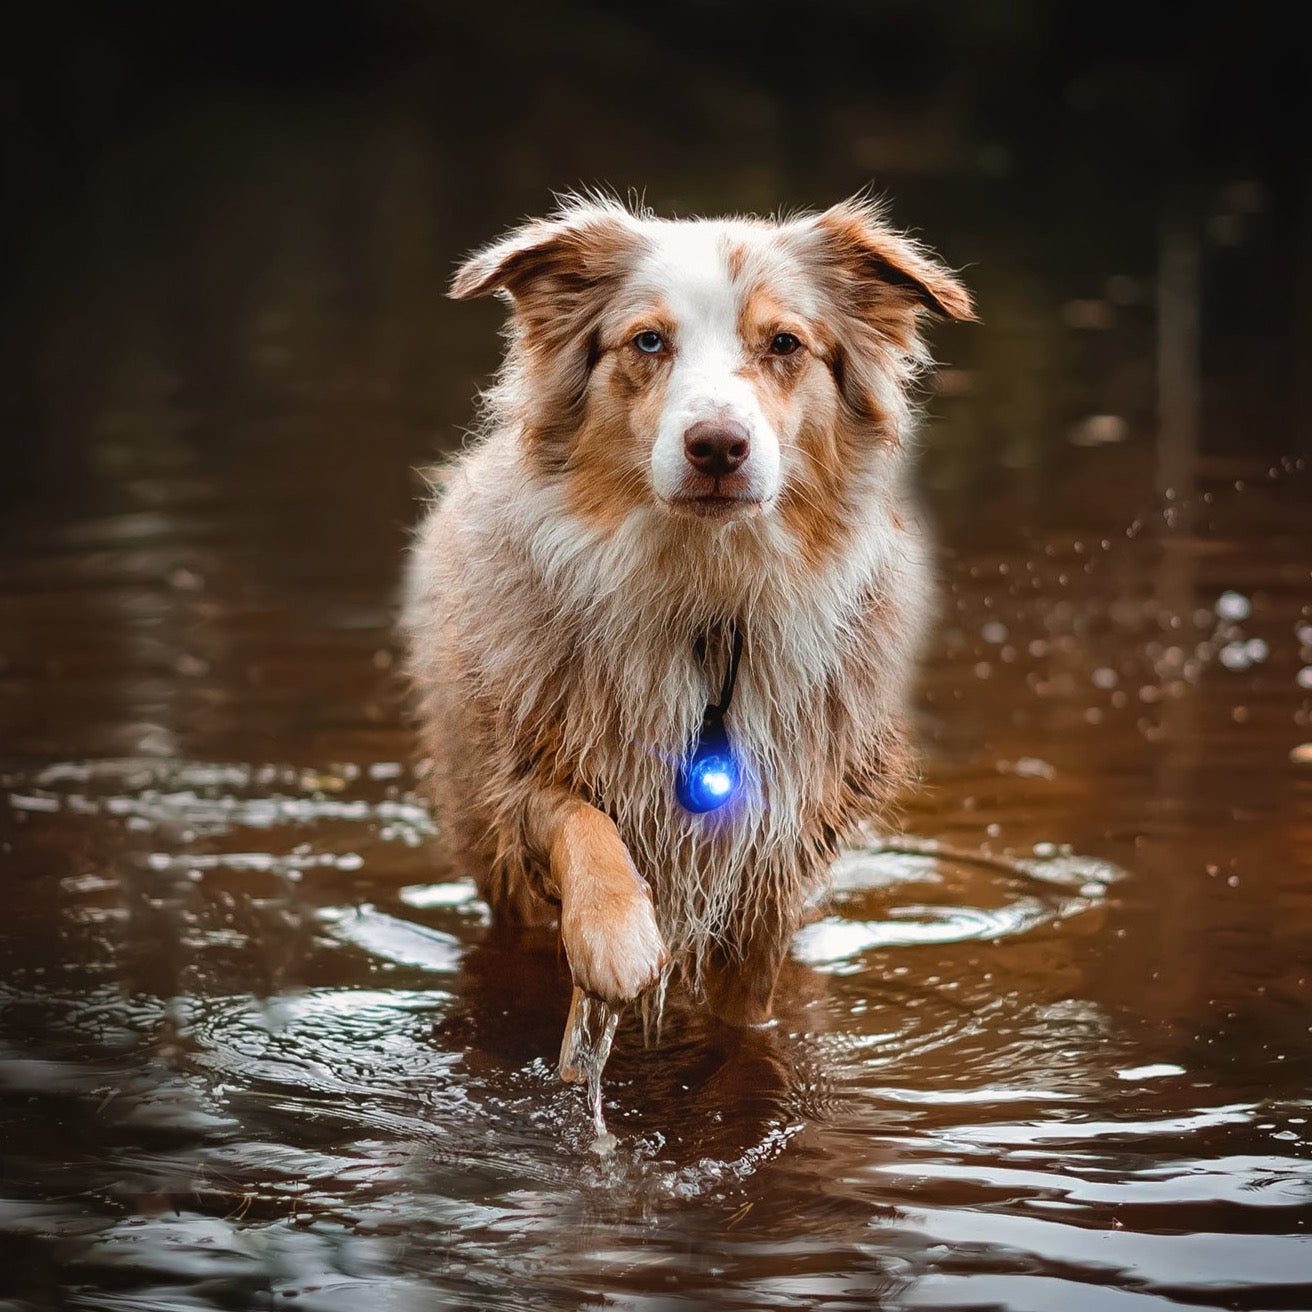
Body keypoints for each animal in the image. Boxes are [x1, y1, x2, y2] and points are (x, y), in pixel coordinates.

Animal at [401, 194, 976, 1033]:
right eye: (648, 340)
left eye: (784, 343)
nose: (717, 446)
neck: (708, 597)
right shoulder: (520, 774)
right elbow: (581, 823)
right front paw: (616, 938)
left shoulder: (775, 852)